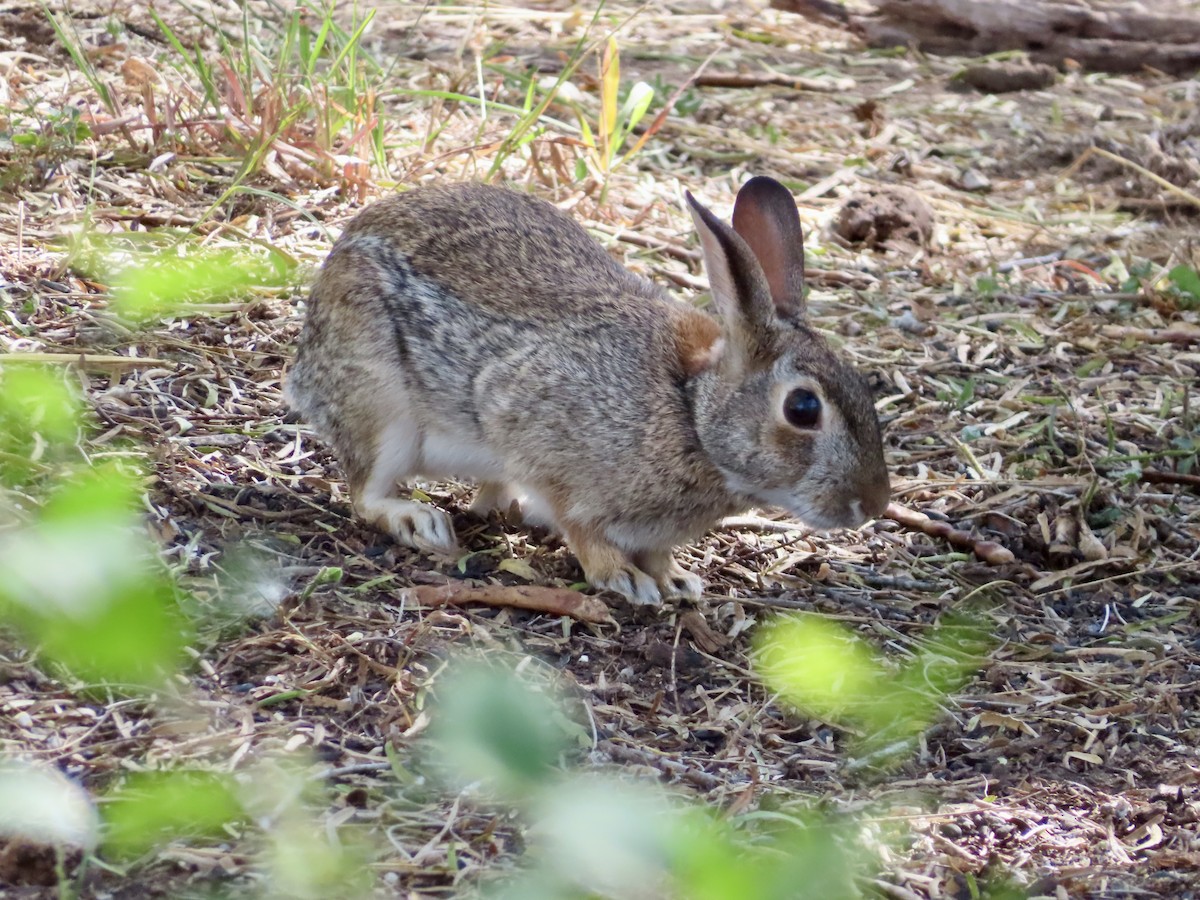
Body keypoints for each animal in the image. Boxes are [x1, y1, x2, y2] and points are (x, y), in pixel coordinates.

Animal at [285, 175, 890, 606]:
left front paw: (677, 581)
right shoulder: (540, 439)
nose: (874, 505)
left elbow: (657, 553)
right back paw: (419, 521)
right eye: (803, 408)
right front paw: (624, 580)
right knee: (366, 492)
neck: (691, 412)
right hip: (380, 405)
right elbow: (580, 525)